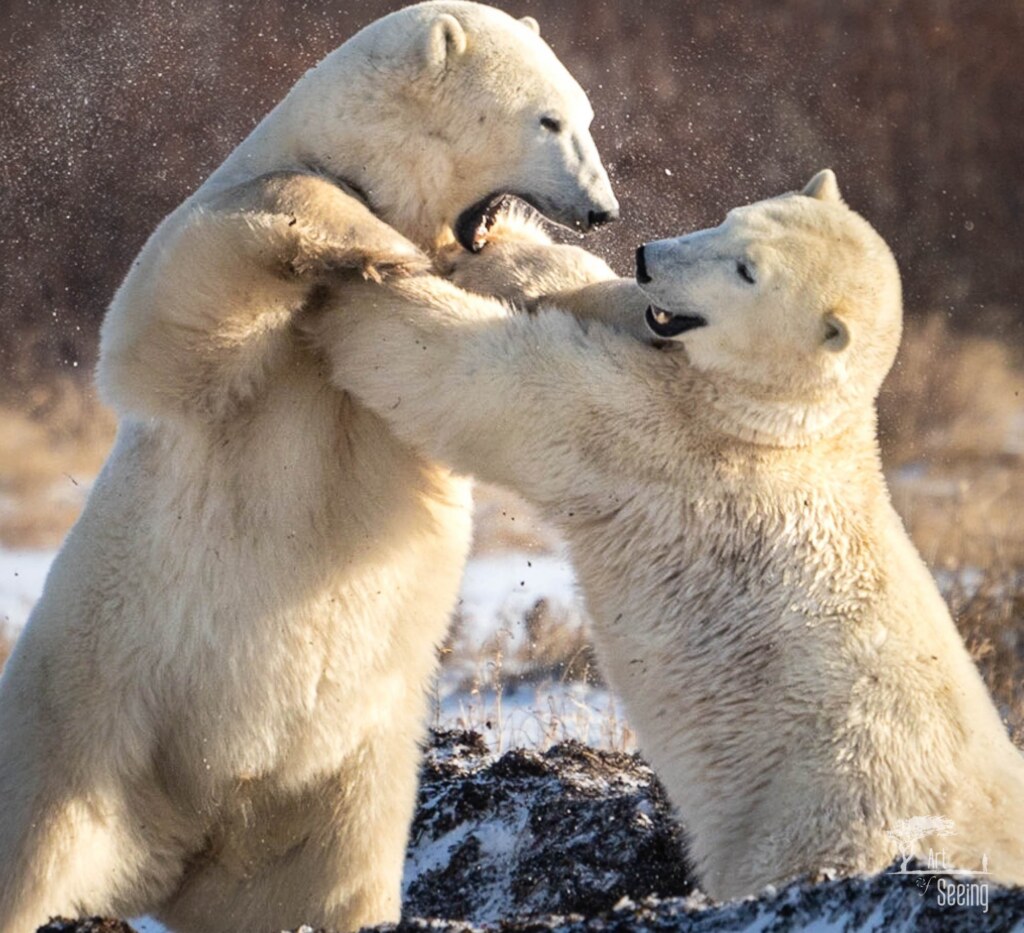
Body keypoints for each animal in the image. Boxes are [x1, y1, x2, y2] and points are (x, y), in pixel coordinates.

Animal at [0, 4, 618, 932]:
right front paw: (375, 243)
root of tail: (181, 838)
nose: (603, 210)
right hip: (81, 727)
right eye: (548, 119)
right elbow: (168, 317)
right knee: (31, 853)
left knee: (325, 881)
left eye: (584, 114)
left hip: (340, 790)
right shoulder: (227, 302)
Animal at [308, 170, 1024, 900]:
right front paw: (485, 239)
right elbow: (579, 286)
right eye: (730, 218)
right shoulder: (658, 354)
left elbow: (505, 381)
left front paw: (347, 282)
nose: (649, 256)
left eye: (747, 272)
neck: (774, 423)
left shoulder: (661, 437)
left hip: (822, 798)